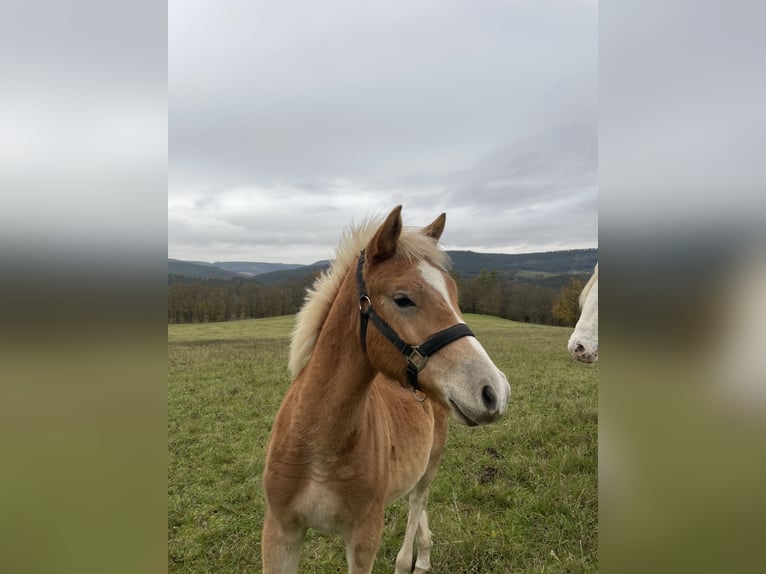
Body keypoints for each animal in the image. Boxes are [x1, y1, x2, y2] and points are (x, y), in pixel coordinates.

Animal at [262, 208, 510, 574]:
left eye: (453, 293)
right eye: (402, 299)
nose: (494, 390)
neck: (318, 444)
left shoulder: (364, 538)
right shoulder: (280, 532)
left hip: (431, 462)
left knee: (417, 502)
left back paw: (414, 560)